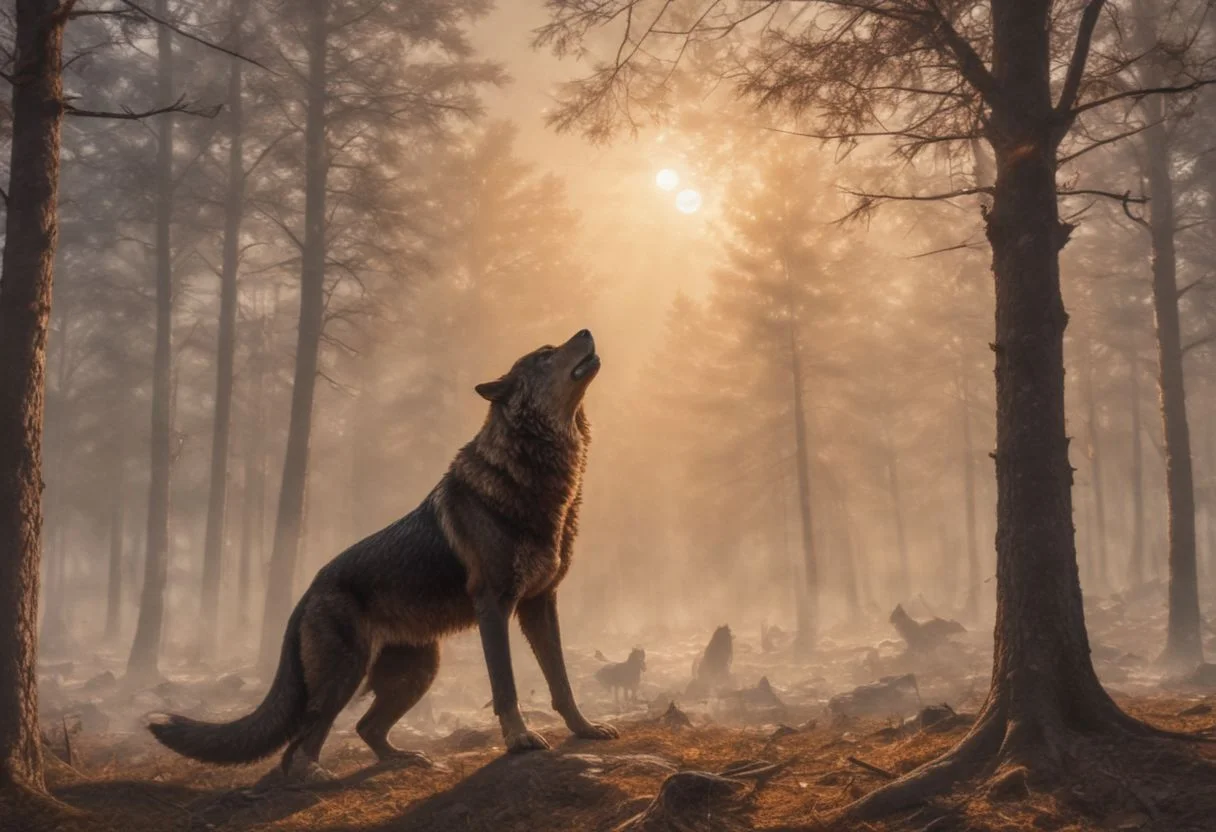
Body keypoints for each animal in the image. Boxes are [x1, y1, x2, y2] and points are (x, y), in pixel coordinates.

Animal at [149, 330, 617, 780]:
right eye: (545, 354)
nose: (586, 330)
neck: (535, 477)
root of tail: (308, 593)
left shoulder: (540, 604)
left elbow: (561, 681)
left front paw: (585, 729)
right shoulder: (495, 606)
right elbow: (506, 686)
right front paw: (519, 739)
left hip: (417, 672)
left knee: (364, 727)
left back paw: (403, 758)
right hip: (347, 673)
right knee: (300, 740)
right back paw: (315, 774)